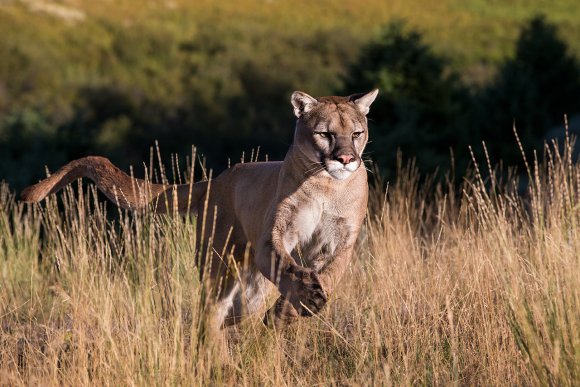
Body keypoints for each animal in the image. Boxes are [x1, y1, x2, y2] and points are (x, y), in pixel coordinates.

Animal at [20, 89, 378, 328]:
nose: (346, 158)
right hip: (218, 267)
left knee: (235, 315)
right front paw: (304, 299)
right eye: (325, 133)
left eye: (357, 133)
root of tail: (218, 180)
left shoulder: (342, 241)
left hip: (250, 288)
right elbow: (286, 266)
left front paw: (292, 309)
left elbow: (329, 274)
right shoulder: (275, 236)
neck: (327, 186)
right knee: (210, 314)